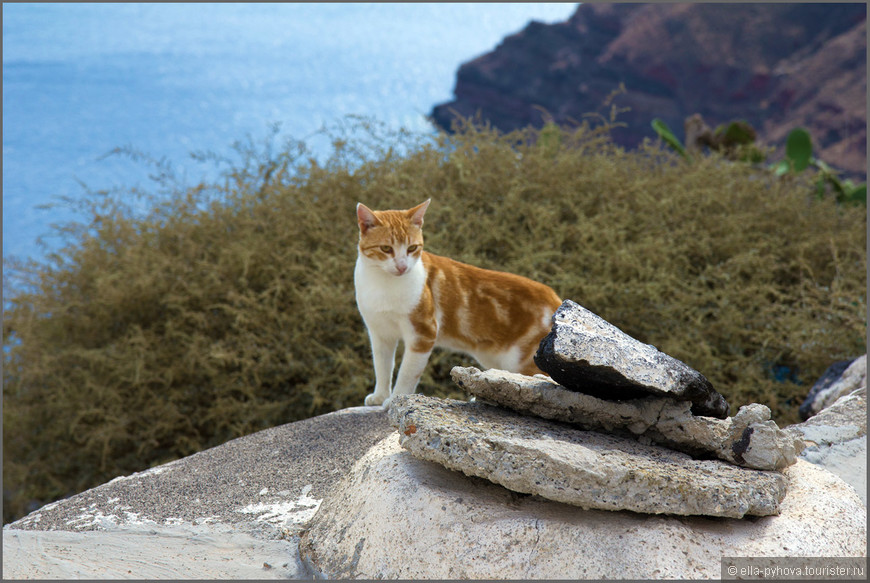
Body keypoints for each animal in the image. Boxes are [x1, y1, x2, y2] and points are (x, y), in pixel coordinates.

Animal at [358, 198, 564, 408]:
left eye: (412, 248)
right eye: (386, 249)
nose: (402, 267)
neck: (384, 284)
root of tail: (555, 298)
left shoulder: (423, 333)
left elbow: (406, 374)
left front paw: (395, 399)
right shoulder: (379, 333)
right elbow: (382, 367)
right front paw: (380, 396)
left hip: (525, 361)